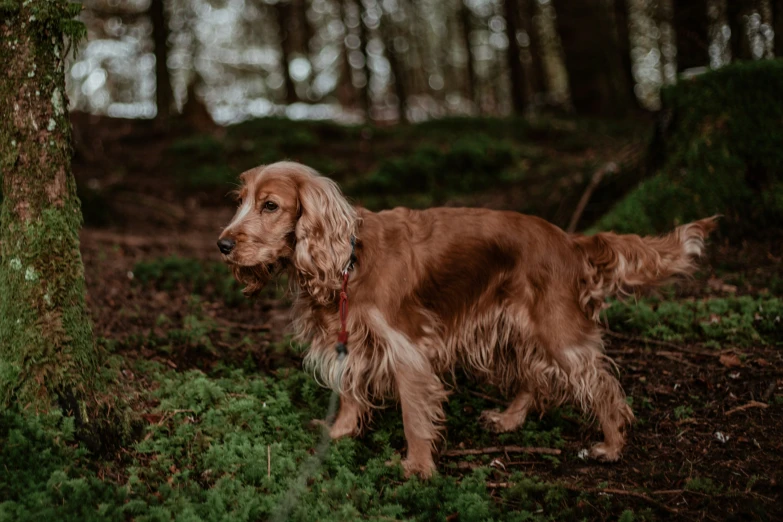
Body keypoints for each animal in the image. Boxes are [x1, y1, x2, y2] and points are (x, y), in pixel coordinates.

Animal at [216, 161, 716, 476]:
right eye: (240, 202)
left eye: (270, 205)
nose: (222, 244)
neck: (347, 262)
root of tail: (569, 240)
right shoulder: (351, 341)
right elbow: (351, 391)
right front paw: (339, 434)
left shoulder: (406, 348)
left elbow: (414, 415)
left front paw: (417, 468)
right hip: (512, 327)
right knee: (535, 378)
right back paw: (510, 420)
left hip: (554, 328)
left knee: (602, 385)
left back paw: (611, 445)